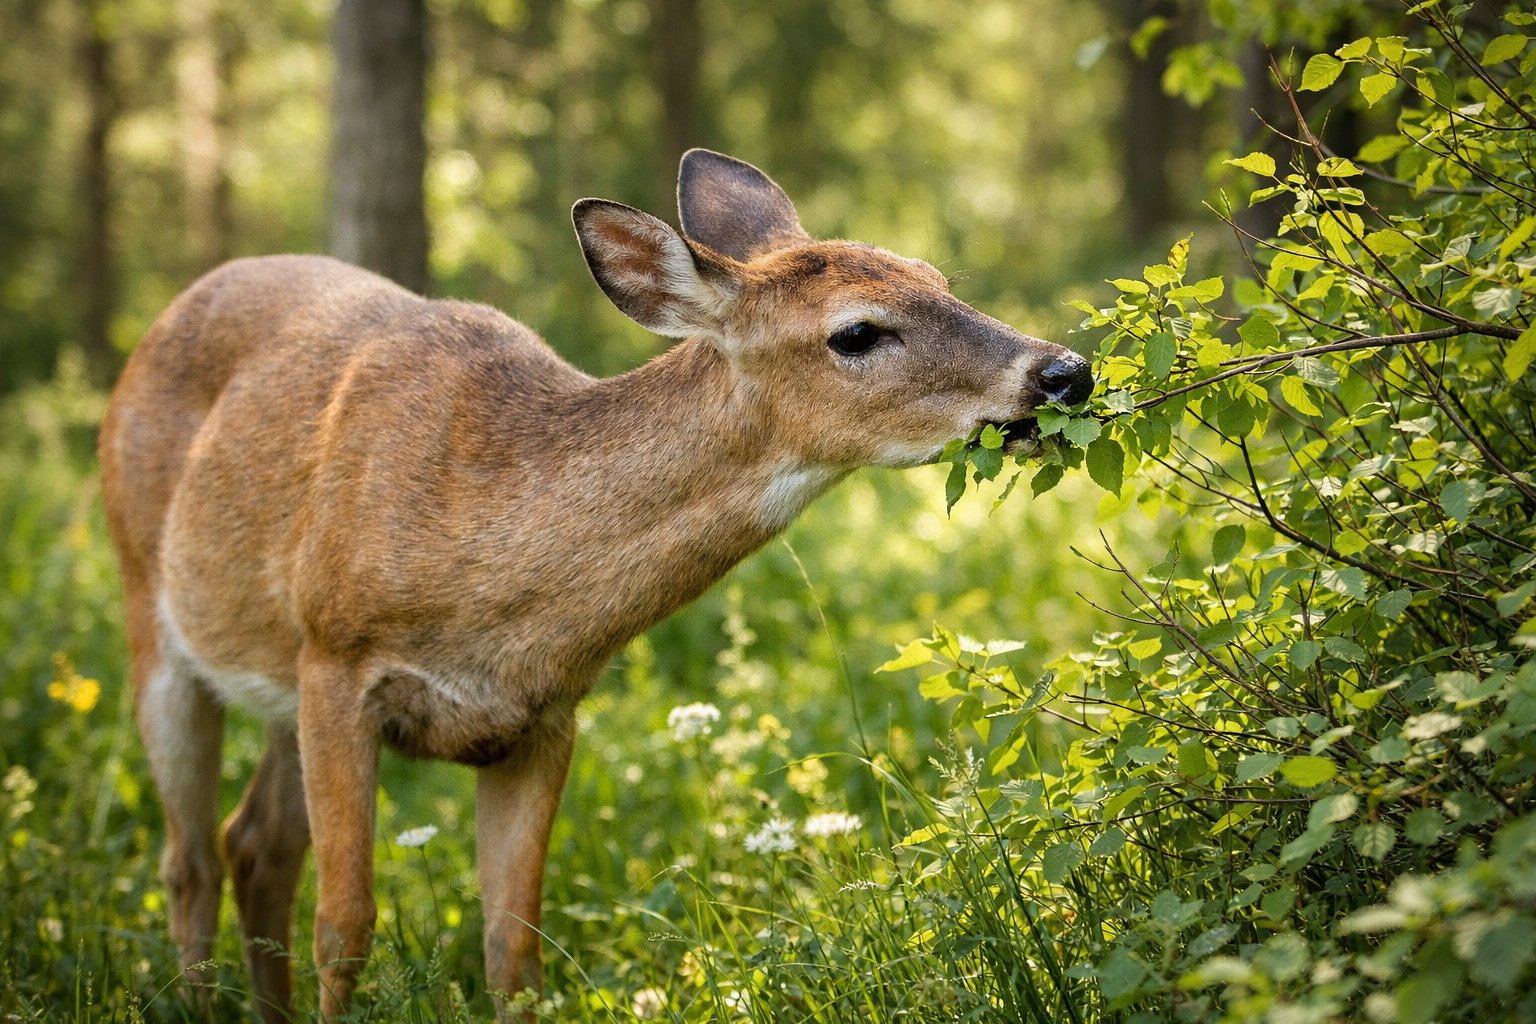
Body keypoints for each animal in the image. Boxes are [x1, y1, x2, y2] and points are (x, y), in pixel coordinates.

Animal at [98, 149, 1093, 1021]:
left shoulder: (543, 718)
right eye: (856, 330)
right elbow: (344, 927)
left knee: (252, 844)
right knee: (189, 858)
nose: (1065, 371)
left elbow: (515, 948)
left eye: (938, 278)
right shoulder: (339, 661)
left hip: (276, 679)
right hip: (155, 612)